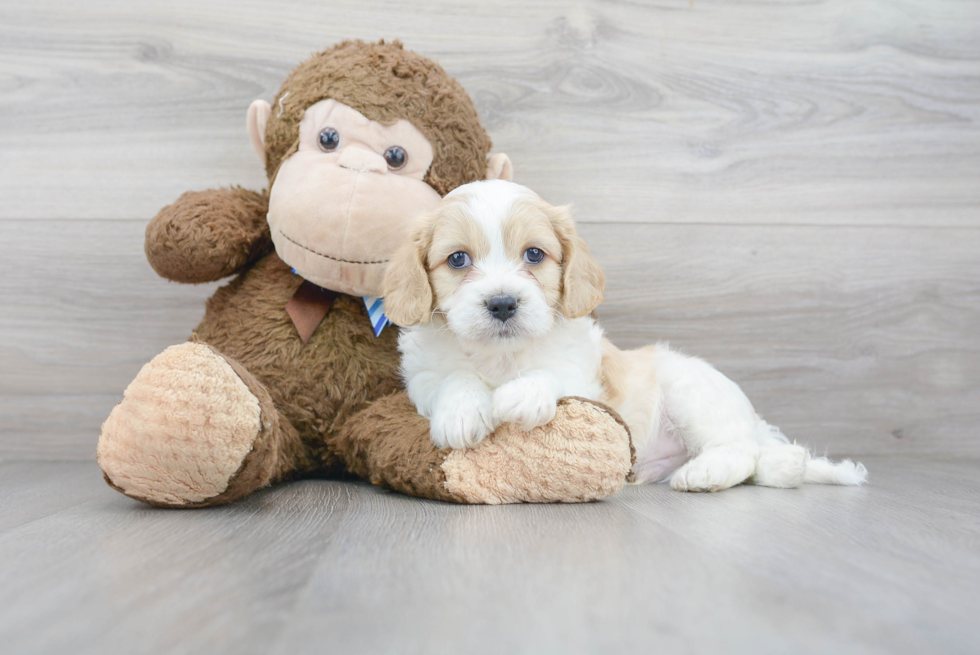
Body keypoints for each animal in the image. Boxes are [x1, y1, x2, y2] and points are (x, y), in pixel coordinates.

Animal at [380, 179, 864, 492]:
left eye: (534, 254)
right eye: (457, 259)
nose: (502, 303)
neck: (502, 357)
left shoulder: (584, 376)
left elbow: (551, 375)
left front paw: (521, 395)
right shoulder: (424, 377)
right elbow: (454, 379)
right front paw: (462, 412)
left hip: (692, 393)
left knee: (740, 450)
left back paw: (706, 474)